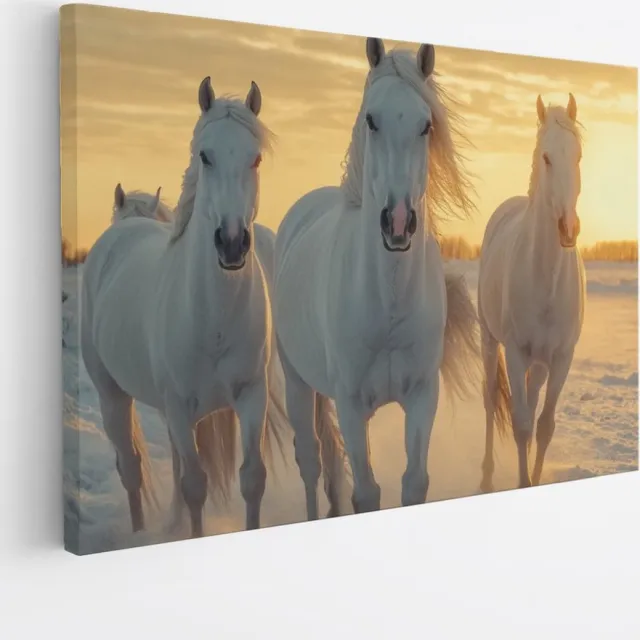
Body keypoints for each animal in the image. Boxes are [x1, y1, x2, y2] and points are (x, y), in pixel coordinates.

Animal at [80, 77, 288, 539]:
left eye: (255, 158)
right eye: (205, 156)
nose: (232, 243)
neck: (213, 319)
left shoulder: (251, 398)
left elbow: (252, 479)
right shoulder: (176, 406)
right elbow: (193, 485)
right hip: (113, 396)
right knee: (132, 469)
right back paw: (139, 534)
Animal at [273, 38, 480, 519]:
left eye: (426, 125)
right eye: (371, 119)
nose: (398, 223)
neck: (387, 304)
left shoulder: (422, 397)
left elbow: (413, 482)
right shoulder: (350, 404)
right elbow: (365, 493)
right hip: (297, 382)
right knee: (310, 461)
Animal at [478, 94, 586, 491]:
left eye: (577, 157)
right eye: (546, 157)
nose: (568, 228)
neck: (546, 278)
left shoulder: (561, 358)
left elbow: (545, 426)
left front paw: (536, 478)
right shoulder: (516, 351)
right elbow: (522, 425)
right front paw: (524, 481)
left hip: (540, 363)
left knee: (532, 398)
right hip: (490, 340)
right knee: (490, 399)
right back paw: (486, 477)